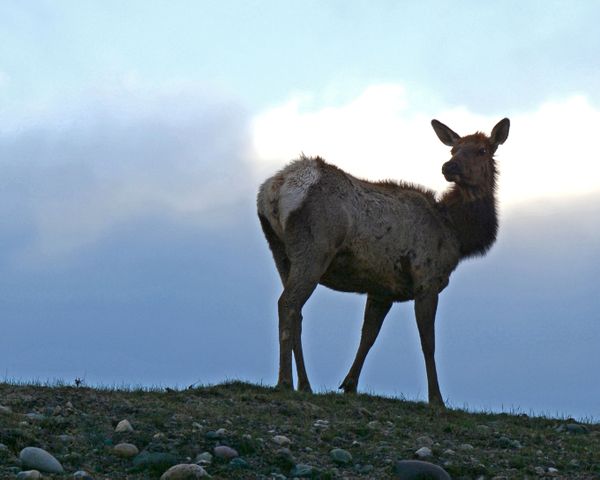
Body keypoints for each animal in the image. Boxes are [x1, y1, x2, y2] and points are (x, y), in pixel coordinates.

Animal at [258, 117, 510, 404]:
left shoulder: (382, 288)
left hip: (280, 252)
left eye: (481, 150)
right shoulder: (427, 279)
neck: (457, 234)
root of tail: (275, 189)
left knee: (297, 312)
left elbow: (368, 335)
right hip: (314, 249)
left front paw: (350, 384)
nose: (449, 167)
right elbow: (428, 342)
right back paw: (285, 381)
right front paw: (436, 399)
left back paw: (305, 384)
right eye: (454, 149)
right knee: (287, 303)